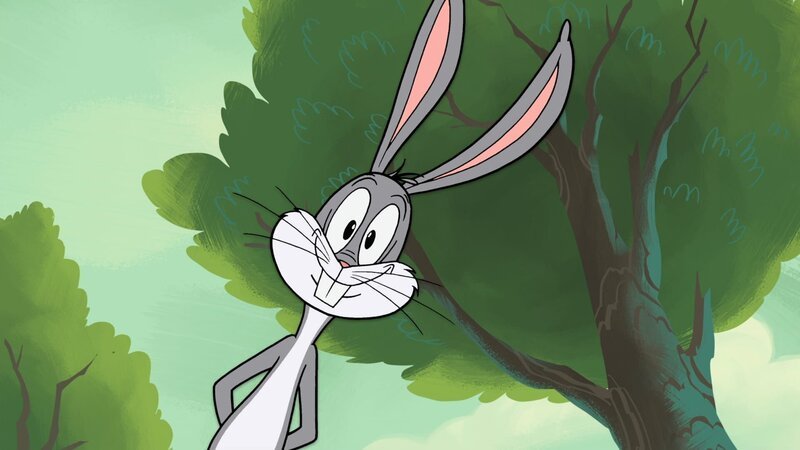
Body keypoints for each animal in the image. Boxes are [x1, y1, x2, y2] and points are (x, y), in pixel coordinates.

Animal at [209, 0, 574, 448]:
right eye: (347, 226)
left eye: (372, 240)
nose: (344, 262)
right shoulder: (291, 348)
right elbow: (224, 387)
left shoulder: (305, 355)